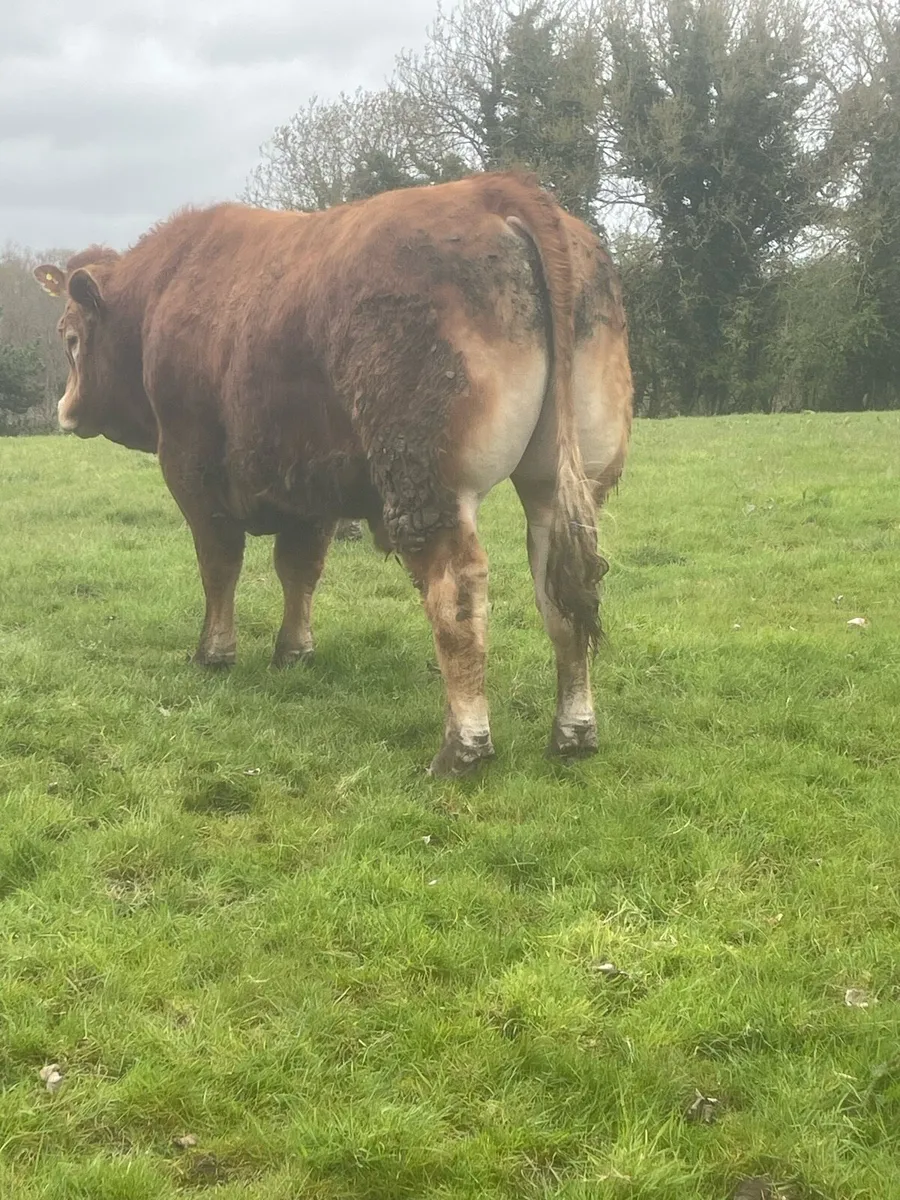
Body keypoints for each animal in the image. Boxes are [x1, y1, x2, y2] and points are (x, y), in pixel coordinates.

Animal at [34, 172, 633, 776]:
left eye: (70, 336)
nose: (64, 410)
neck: (163, 294)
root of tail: (498, 188)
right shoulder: (311, 482)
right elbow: (299, 568)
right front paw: (293, 651)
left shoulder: (192, 470)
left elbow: (219, 565)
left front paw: (213, 654)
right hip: (561, 482)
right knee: (562, 589)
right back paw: (573, 732)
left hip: (427, 478)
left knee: (457, 589)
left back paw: (463, 746)